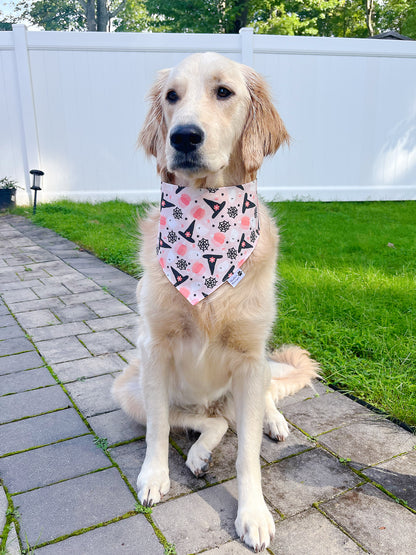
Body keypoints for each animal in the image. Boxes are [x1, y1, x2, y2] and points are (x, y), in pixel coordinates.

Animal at [111, 51, 318, 552]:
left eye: (224, 92)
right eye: (172, 96)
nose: (183, 136)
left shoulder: (250, 356)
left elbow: (248, 456)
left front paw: (254, 514)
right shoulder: (154, 349)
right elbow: (158, 429)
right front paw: (153, 477)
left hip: (254, 374)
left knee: (255, 407)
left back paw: (274, 422)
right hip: (129, 388)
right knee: (205, 423)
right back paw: (200, 452)